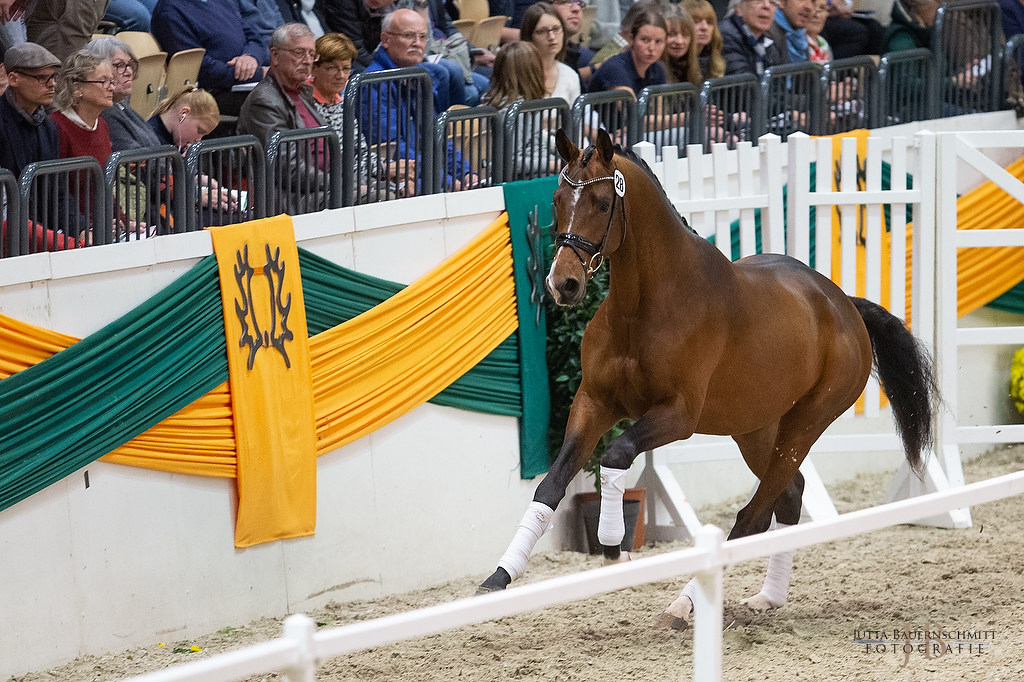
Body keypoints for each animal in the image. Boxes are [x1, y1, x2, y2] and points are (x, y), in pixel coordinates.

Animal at [477, 129, 937, 626]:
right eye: (558, 199)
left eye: (601, 203)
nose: (562, 284)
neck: (643, 307)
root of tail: (844, 305)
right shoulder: (594, 402)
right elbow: (551, 485)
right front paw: (499, 578)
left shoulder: (678, 416)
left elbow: (616, 456)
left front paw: (614, 545)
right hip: (755, 429)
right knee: (790, 493)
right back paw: (767, 598)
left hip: (804, 425)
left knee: (754, 513)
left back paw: (684, 605)